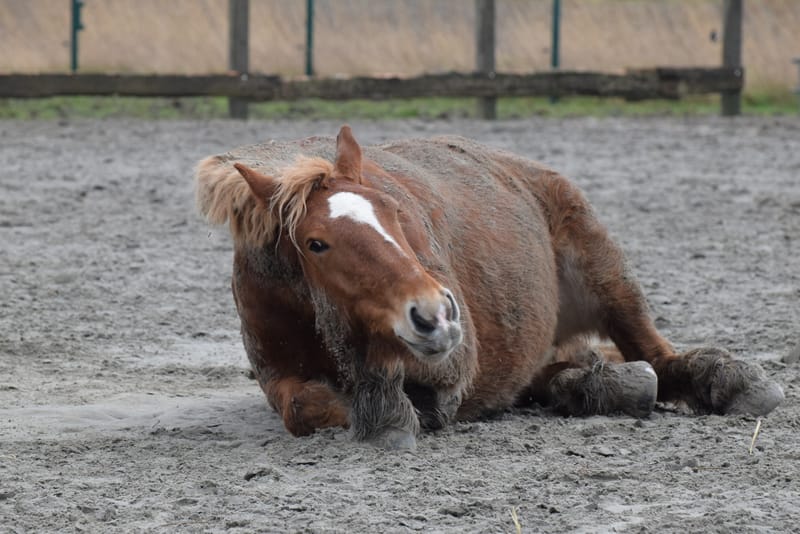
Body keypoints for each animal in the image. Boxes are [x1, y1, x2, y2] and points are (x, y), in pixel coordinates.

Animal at [195, 125, 783, 449]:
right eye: (316, 243)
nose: (434, 314)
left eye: (393, 211)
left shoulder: (452, 363)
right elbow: (305, 406)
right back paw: (595, 384)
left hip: (608, 274)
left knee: (657, 355)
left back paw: (728, 381)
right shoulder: (280, 378)